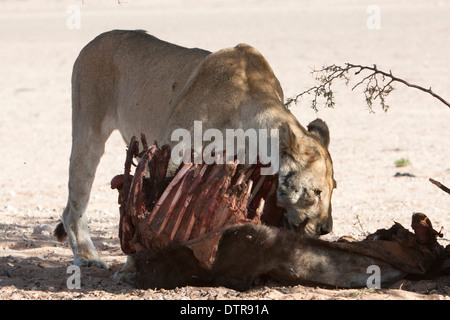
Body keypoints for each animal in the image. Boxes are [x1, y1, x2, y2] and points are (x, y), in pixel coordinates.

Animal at [54, 30, 336, 280]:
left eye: (333, 190)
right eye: (317, 192)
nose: (326, 228)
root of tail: (96, 39)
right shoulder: (168, 155)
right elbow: (142, 210)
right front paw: (132, 268)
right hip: (88, 132)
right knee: (74, 204)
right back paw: (87, 257)